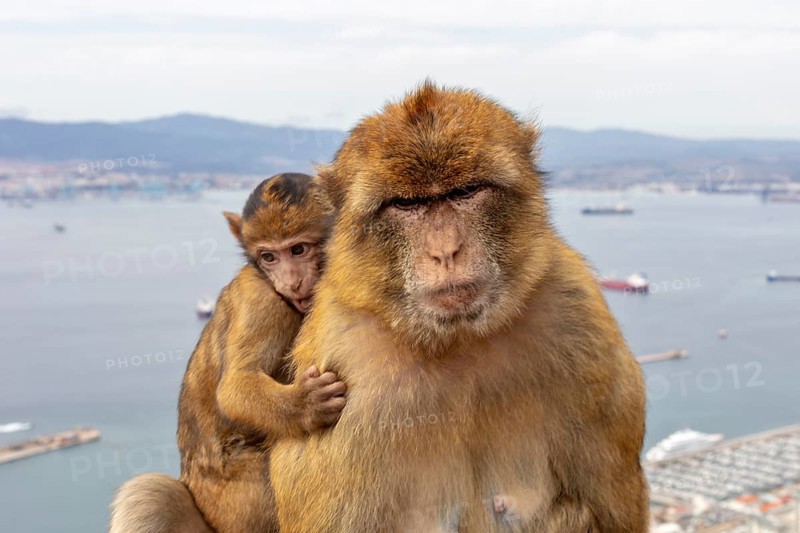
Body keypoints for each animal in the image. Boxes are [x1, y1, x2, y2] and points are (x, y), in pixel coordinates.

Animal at [109, 172, 346, 533]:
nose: (291, 283)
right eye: (268, 257)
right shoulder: (263, 302)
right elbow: (235, 386)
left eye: (298, 249)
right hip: (238, 502)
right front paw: (305, 405)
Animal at [269, 82, 648, 533]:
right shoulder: (344, 370)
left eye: (465, 192)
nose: (445, 251)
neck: (460, 339)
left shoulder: (580, 322)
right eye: (406, 204)